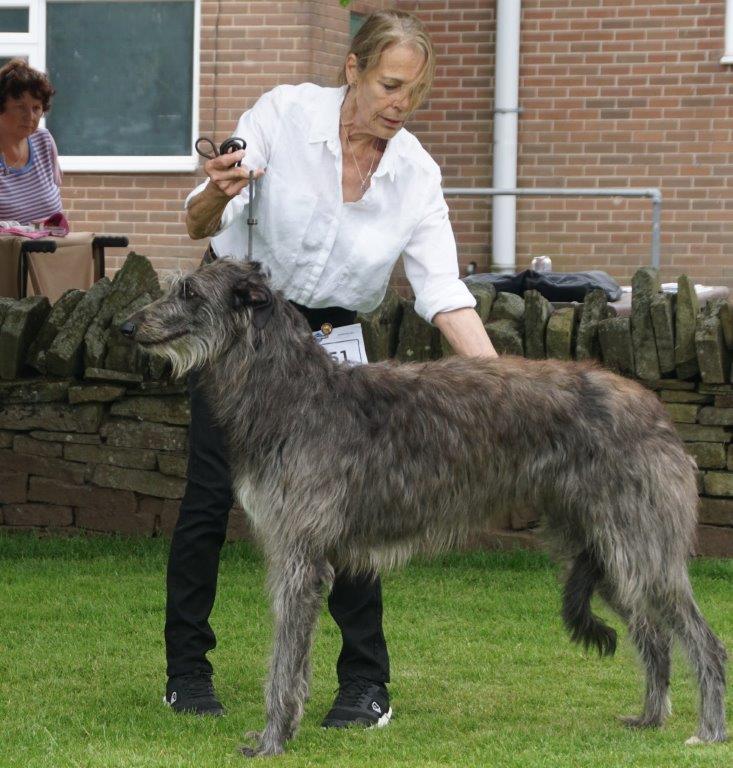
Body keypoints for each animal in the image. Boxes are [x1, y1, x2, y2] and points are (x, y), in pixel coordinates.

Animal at [124, 258, 728, 756]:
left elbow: (283, 661)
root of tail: (654, 407)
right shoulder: (292, 551)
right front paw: (283, 731)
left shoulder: (300, 559)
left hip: (641, 545)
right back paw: (650, 720)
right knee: (654, 636)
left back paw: (709, 731)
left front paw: (273, 739)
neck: (293, 395)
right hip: (601, 547)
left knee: (703, 640)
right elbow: (292, 658)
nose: (127, 327)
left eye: (189, 291)